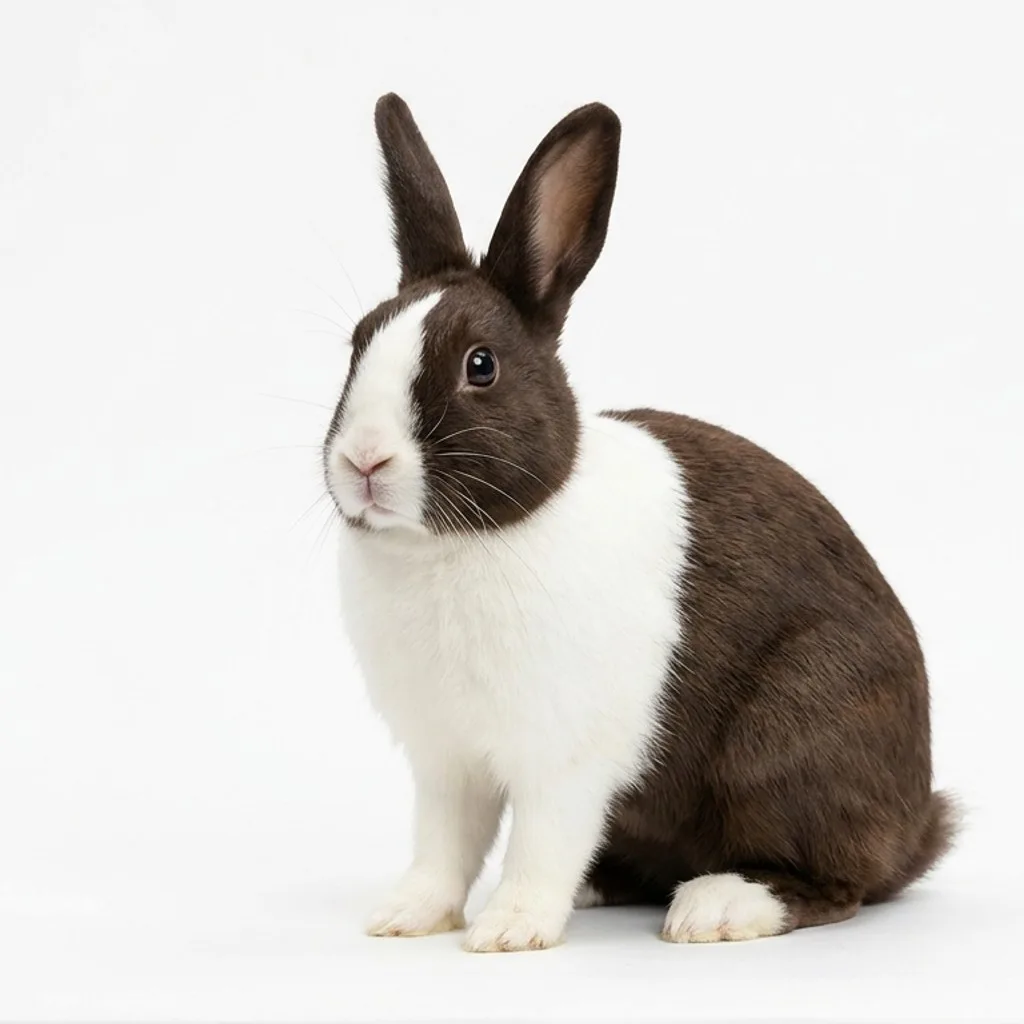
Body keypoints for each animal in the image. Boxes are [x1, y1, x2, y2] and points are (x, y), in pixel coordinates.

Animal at [321, 93, 956, 953]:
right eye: (356, 345)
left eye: (480, 366)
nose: (364, 461)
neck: (456, 544)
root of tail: (919, 823)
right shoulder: (446, 763)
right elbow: (443, 847)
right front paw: (405, 917)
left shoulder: (565, 763)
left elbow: (539, 844)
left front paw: (508, 930)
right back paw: (606, 887)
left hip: (794, 736)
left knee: (835, 883)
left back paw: (717, 906)